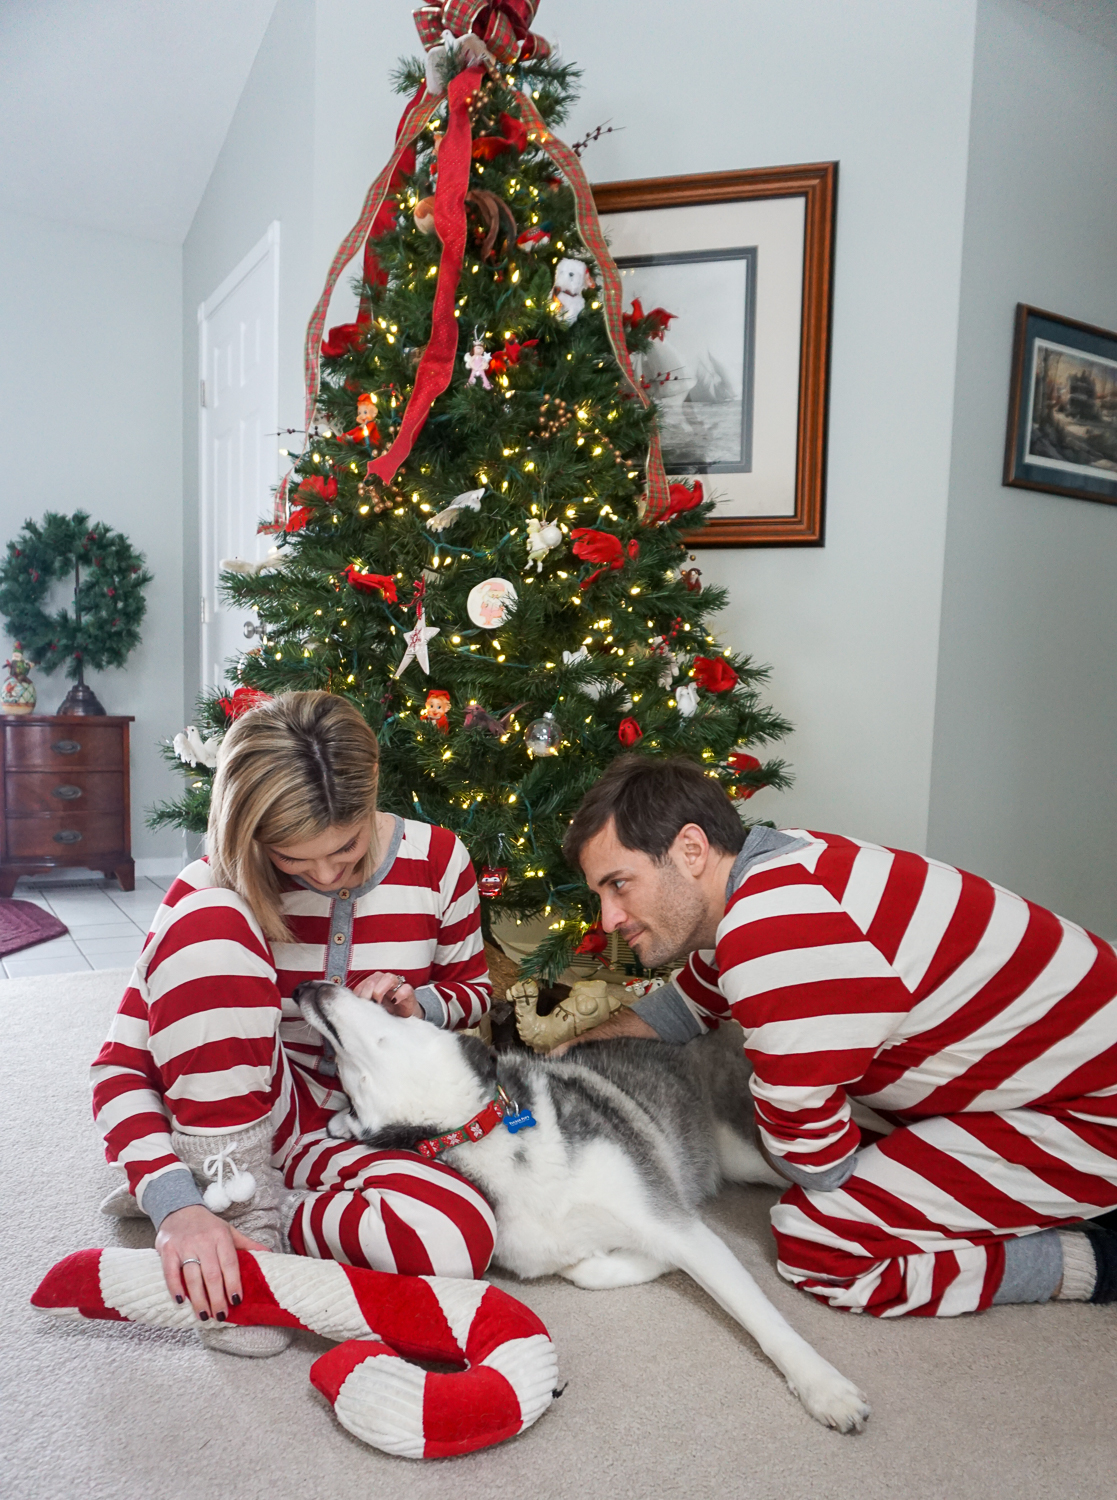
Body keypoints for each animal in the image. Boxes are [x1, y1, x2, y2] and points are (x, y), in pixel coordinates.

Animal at [296, 978, 869, 1434]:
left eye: (391, 1008)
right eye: (349, 1092)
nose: (307, 987)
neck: (479, 1129)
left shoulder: (669, 1218)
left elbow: (761, 1317)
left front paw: (823, 1385)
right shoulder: (568, 1246)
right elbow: (589, 1270)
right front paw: (634, 1262)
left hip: (760, 1153)